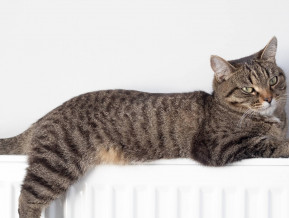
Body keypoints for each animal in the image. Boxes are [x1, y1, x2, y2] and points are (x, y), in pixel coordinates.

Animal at [0, 36, 288, 217]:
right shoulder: (217, 146)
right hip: (57, 162)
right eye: (249, 89)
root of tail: (44, 117)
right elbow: (267, 143)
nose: (268, 98)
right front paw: (281, 142)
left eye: (273, 80)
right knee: (26, 198)